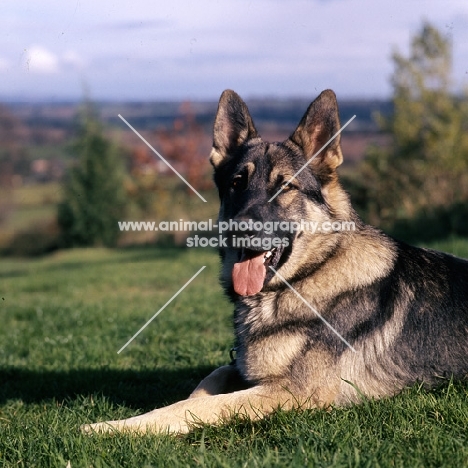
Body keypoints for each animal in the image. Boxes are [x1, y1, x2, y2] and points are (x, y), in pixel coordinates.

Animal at [84, 89, 468, 434]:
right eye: (237, 183)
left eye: (285, 188)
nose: (240, 230)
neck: (309, 275)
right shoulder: (242, 369)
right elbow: (206, 384)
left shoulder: (293, 391)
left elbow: (202, 405)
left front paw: (112, 427)